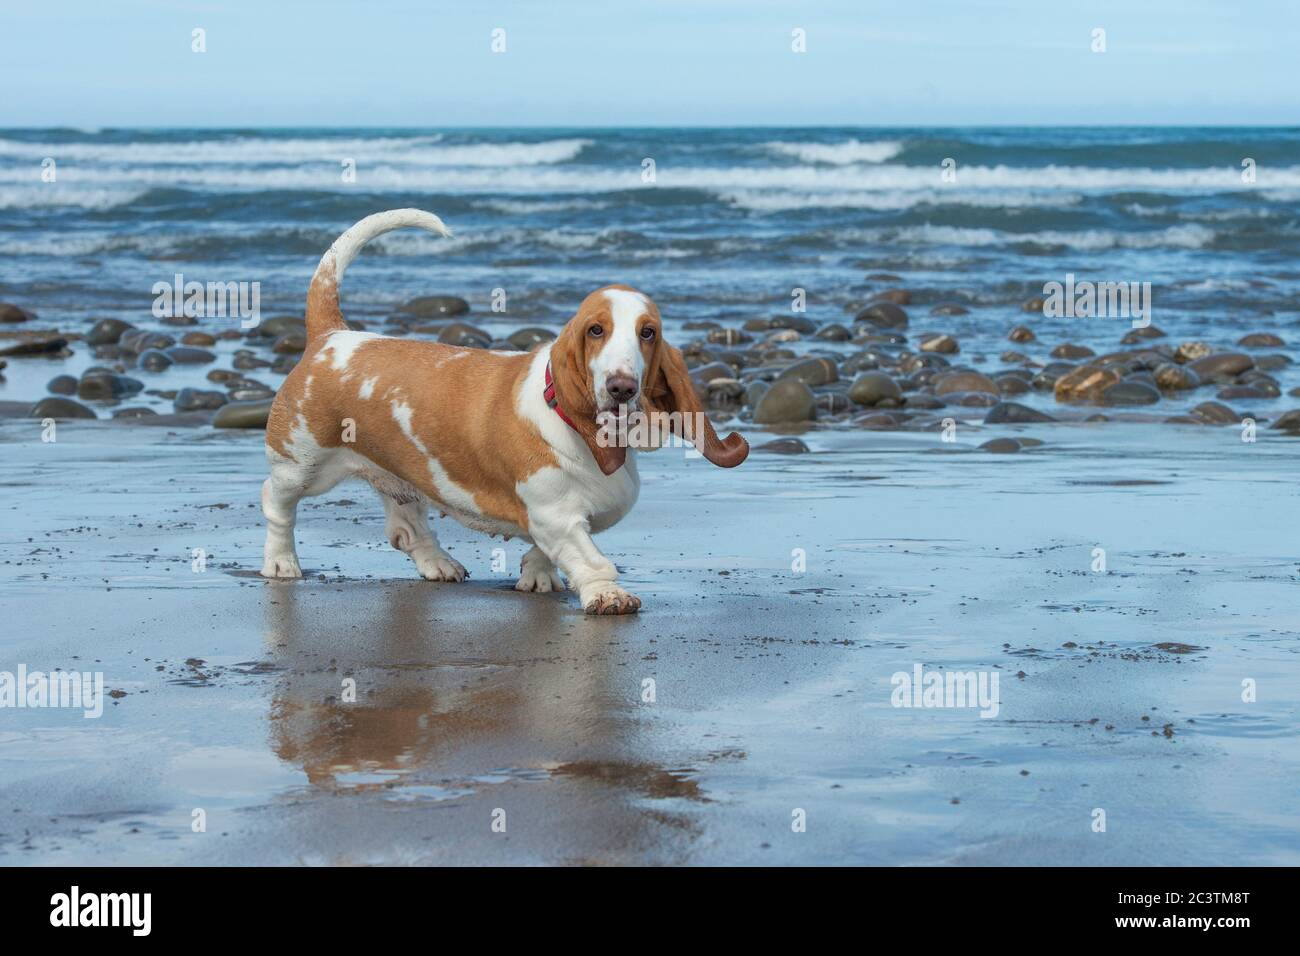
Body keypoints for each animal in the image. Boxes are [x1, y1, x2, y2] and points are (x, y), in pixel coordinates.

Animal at [258, 206, 748, 616]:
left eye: (648, 333)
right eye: (596, 330)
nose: (622, 388)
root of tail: (331, 337)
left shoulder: (555, 518)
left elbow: (544, 551)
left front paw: (537, 577)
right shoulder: (558, 515)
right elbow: (589, 558)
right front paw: (607, 595)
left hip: (401, 476)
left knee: (406, 528)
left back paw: (439, 564)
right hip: (301, 464)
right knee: (276, 502)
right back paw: (281, 563)